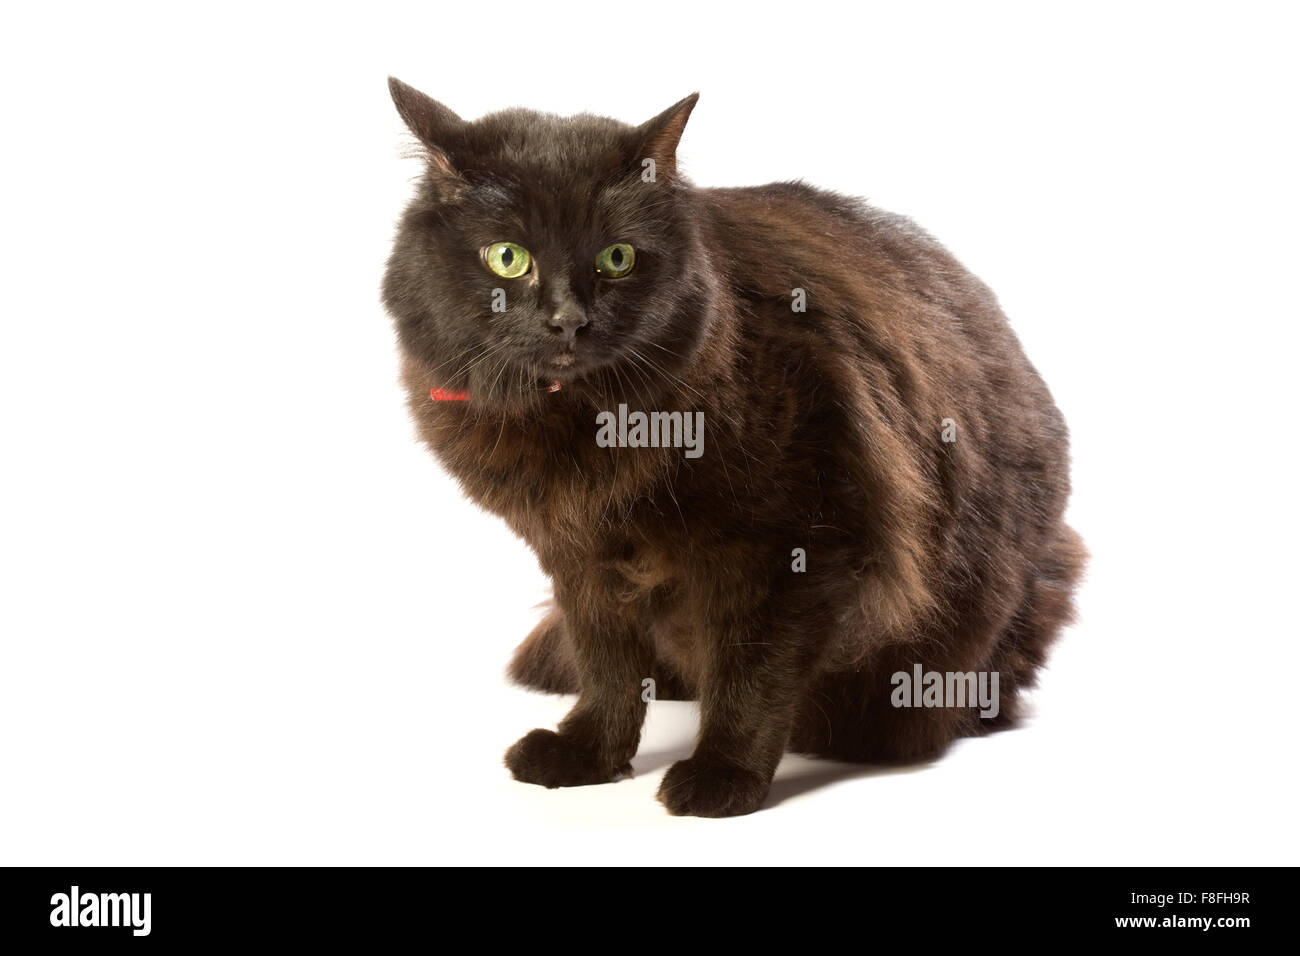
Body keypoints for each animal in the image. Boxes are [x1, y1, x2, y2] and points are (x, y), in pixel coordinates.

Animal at [382, 78, 1086, 816]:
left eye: (617, 259)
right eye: (508, 258)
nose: (568, 321)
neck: (587, 427)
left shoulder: (791, 545)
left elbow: (750, 676)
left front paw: (722, 776)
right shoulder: (578, 554)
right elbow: (606, 667)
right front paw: (588, 754)